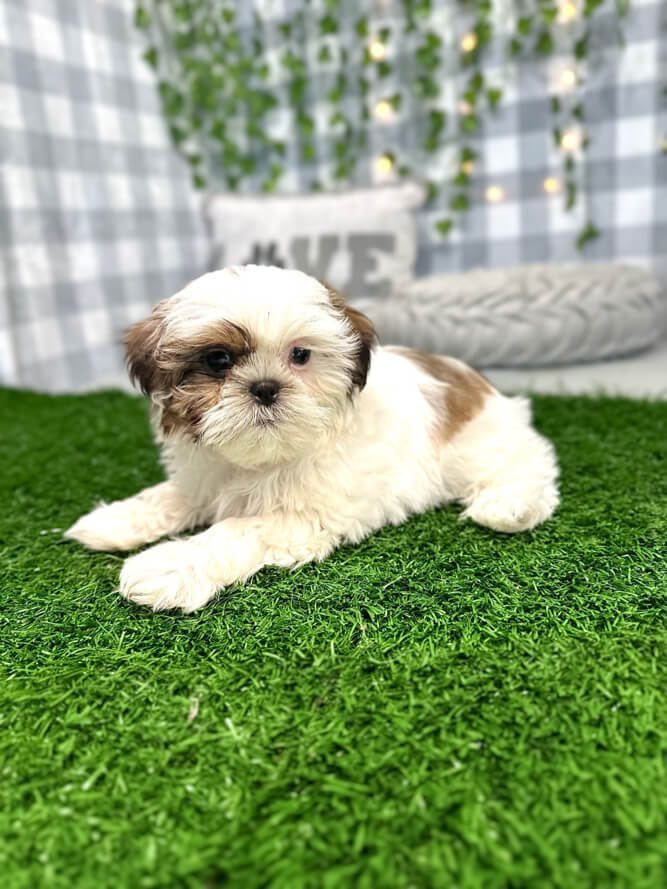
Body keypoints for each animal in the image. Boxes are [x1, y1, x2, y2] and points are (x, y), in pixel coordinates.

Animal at [65, 265, 559, 612]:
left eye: (300, 355)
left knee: (531, 462)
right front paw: (115, 521)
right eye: (218, 360)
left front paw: (168, 566)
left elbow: (231, 531)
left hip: (480, 442)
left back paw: (509, 505)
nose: (265, 387)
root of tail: (480, 383)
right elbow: (170, 497)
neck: (258, 459)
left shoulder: (305, 517)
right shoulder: (202, 475)